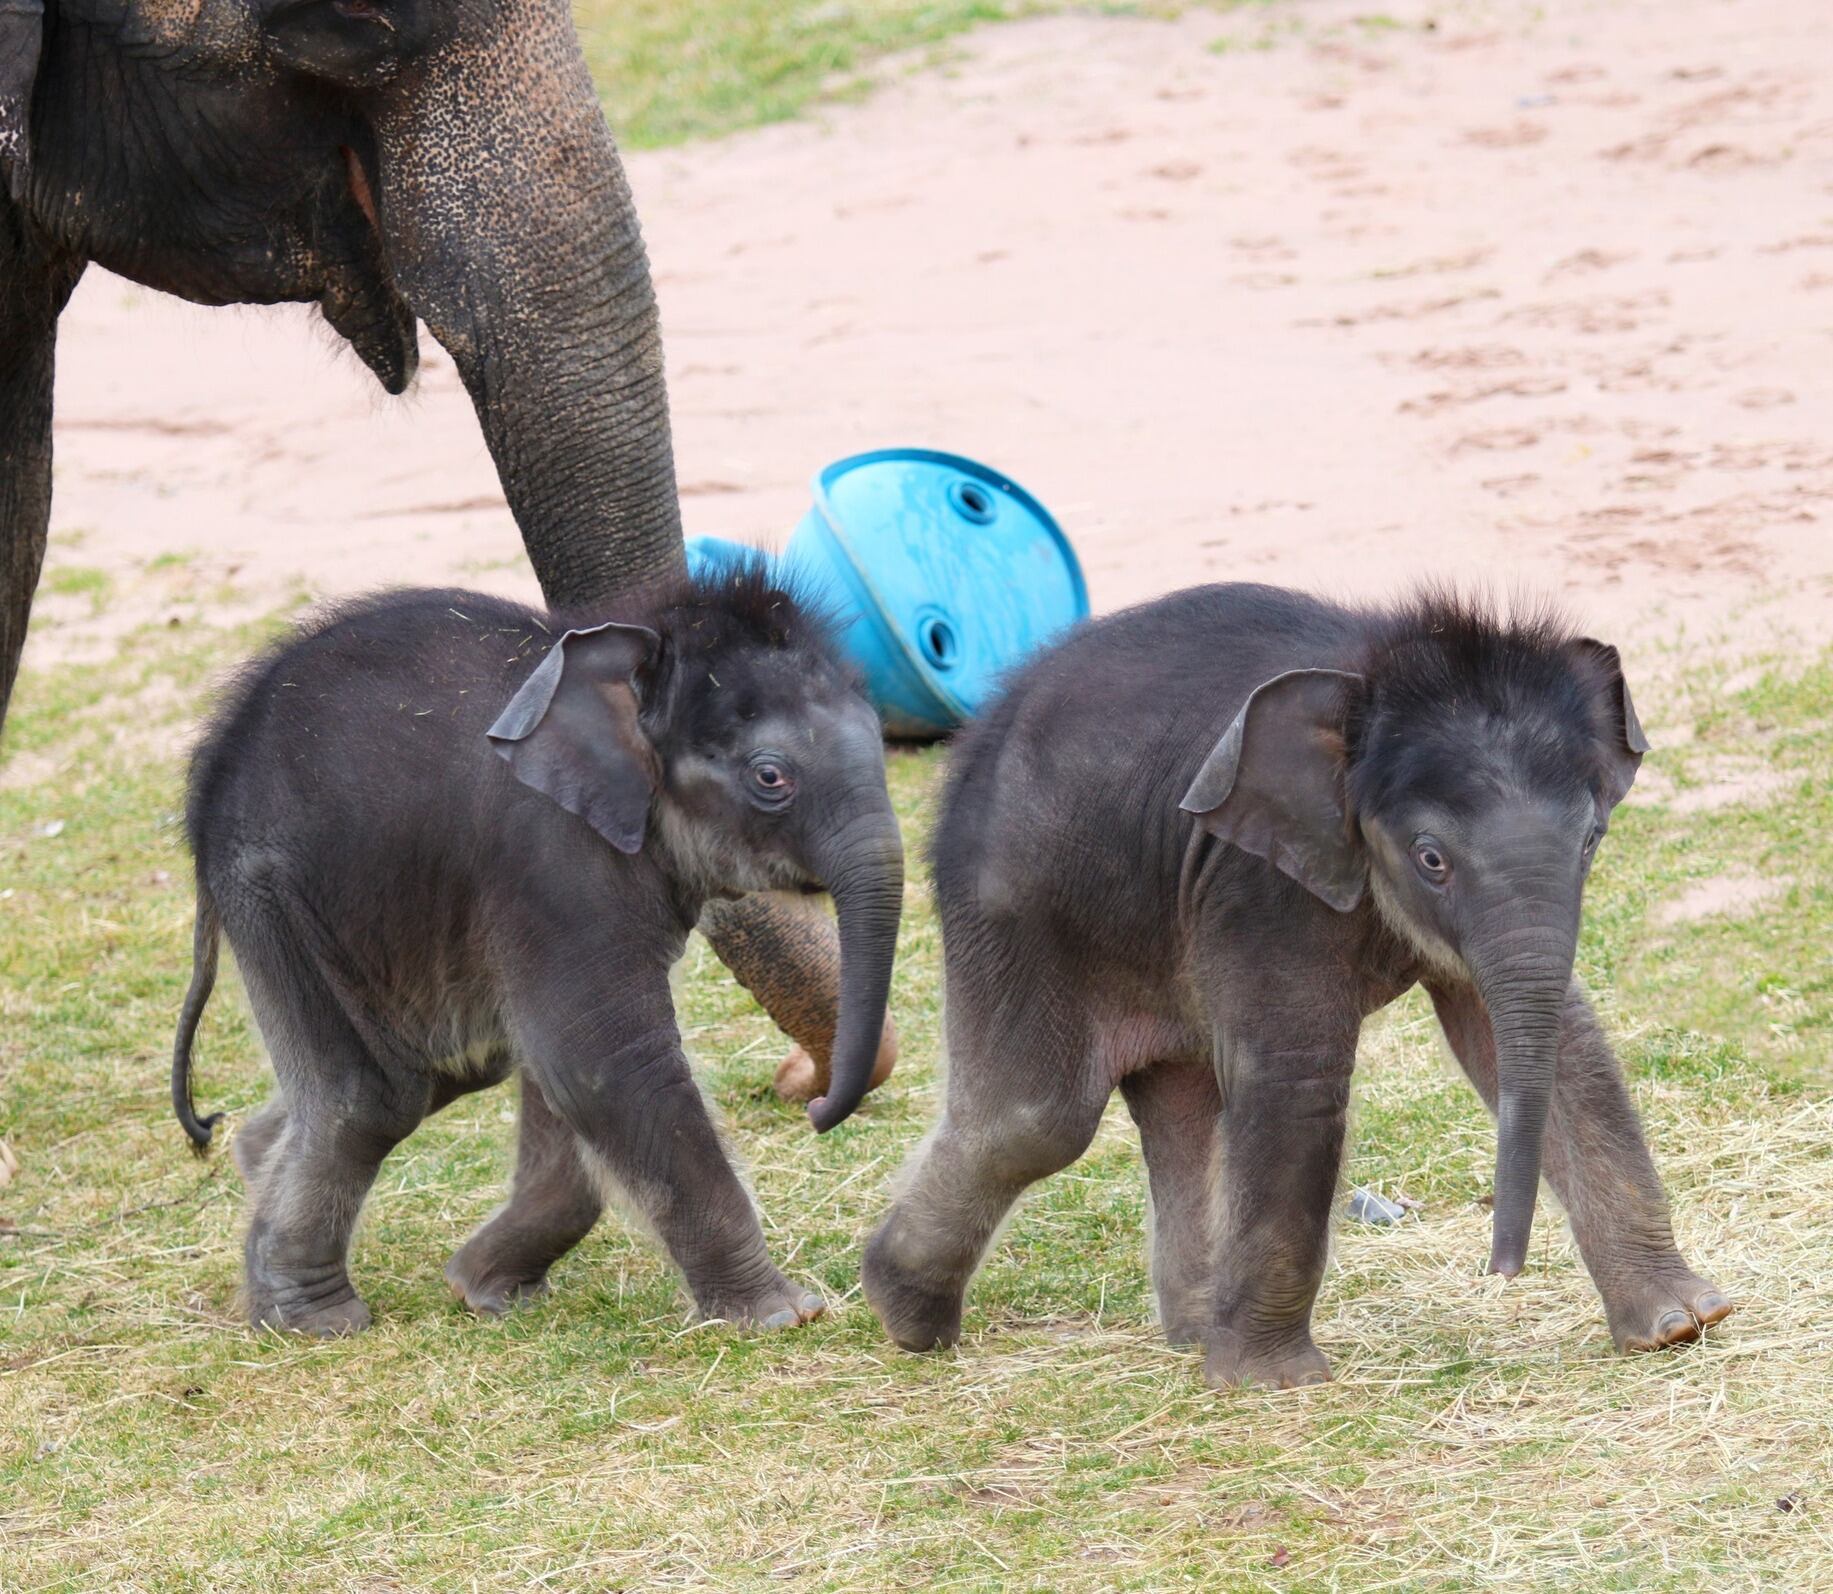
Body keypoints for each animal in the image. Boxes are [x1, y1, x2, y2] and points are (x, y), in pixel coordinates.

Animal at [175, 567, 905, 1341]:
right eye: (771, 778)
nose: (817, 1109)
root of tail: (205, 785)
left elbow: (559, 1074)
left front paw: (486, 1292)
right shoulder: (552, 863)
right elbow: (600, 1062)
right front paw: (783, 1314)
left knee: (452, 1067)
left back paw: (255, 1161)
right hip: (280, 897)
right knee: (371, 1096)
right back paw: (315, 1320)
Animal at [861, 582, 1730, 1385]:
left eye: (1590, 838)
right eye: (1431, 858)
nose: (1502, 1272)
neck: (1368, 676)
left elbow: (1554, 1044)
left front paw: (1681, 1325)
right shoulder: (1256, 879)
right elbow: (1295, 1079)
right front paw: (1273, 1383)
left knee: (1183, 1106)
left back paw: (1192, 1332)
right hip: (1009, 902)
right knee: (1032, 1119)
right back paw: (903, 1315)